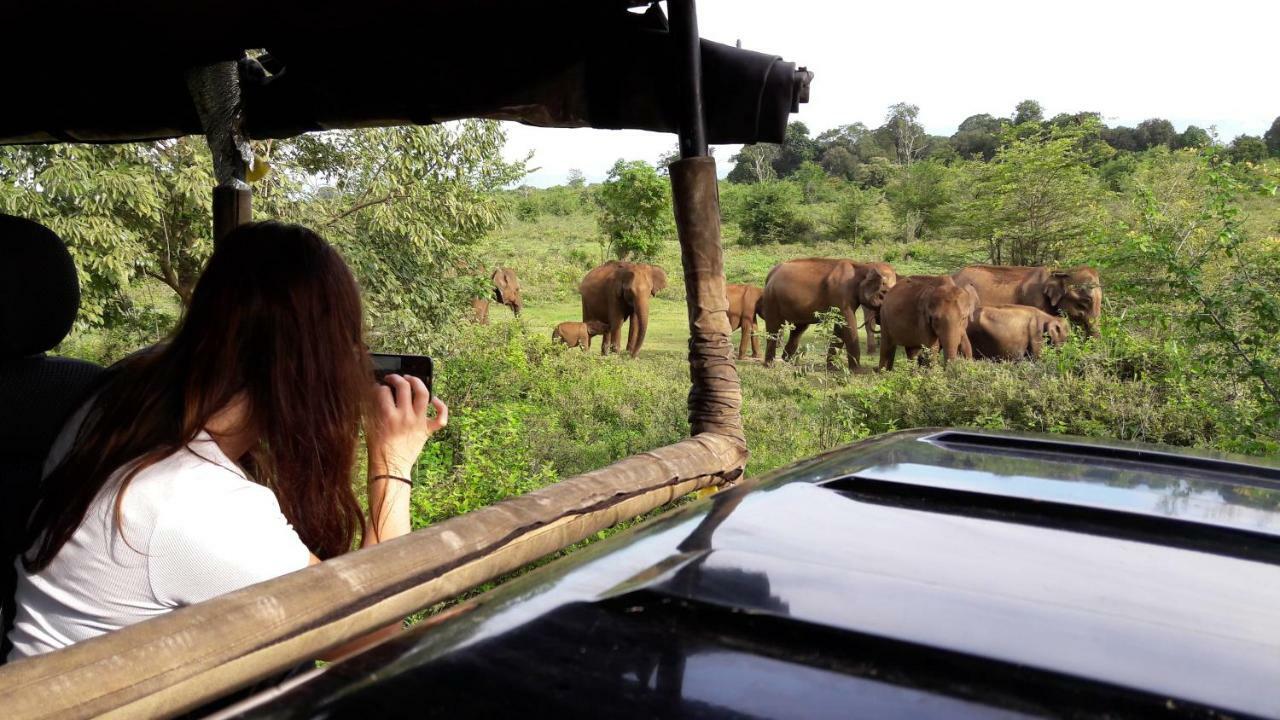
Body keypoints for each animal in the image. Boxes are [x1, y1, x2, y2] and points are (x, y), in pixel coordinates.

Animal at [762, 256, 896, 368]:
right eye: (884, 293)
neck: (861, 267)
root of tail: (770, 273)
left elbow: (840, 328)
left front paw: (832, 367)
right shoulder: (841, 295)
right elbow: (848, 324)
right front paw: (857, 370)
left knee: (798, 330)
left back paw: (788, 361)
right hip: (772, 299)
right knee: (774, 328)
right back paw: (770, 364)